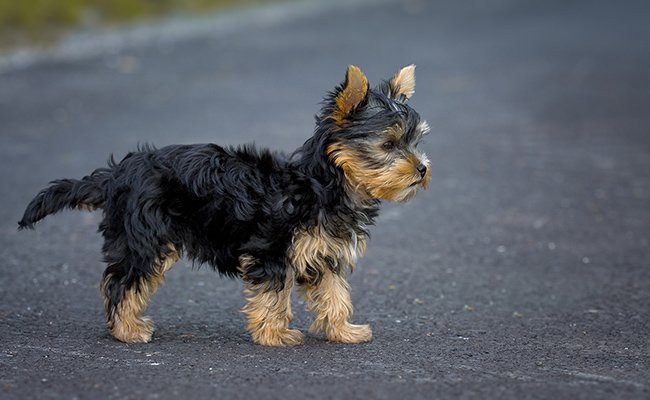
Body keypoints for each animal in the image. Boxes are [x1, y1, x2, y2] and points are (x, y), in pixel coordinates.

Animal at [19, 64, 430, 346]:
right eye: (389, 144)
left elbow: (335, 294)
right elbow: (273, 294)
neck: (322, 185)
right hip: (146, 238)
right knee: (124, 281)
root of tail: (118, 173)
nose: (423, 169)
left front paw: (344, 330)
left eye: (415, 142)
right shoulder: (272, 250)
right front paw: (275, 335)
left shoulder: (323, 253)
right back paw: (127, 330)